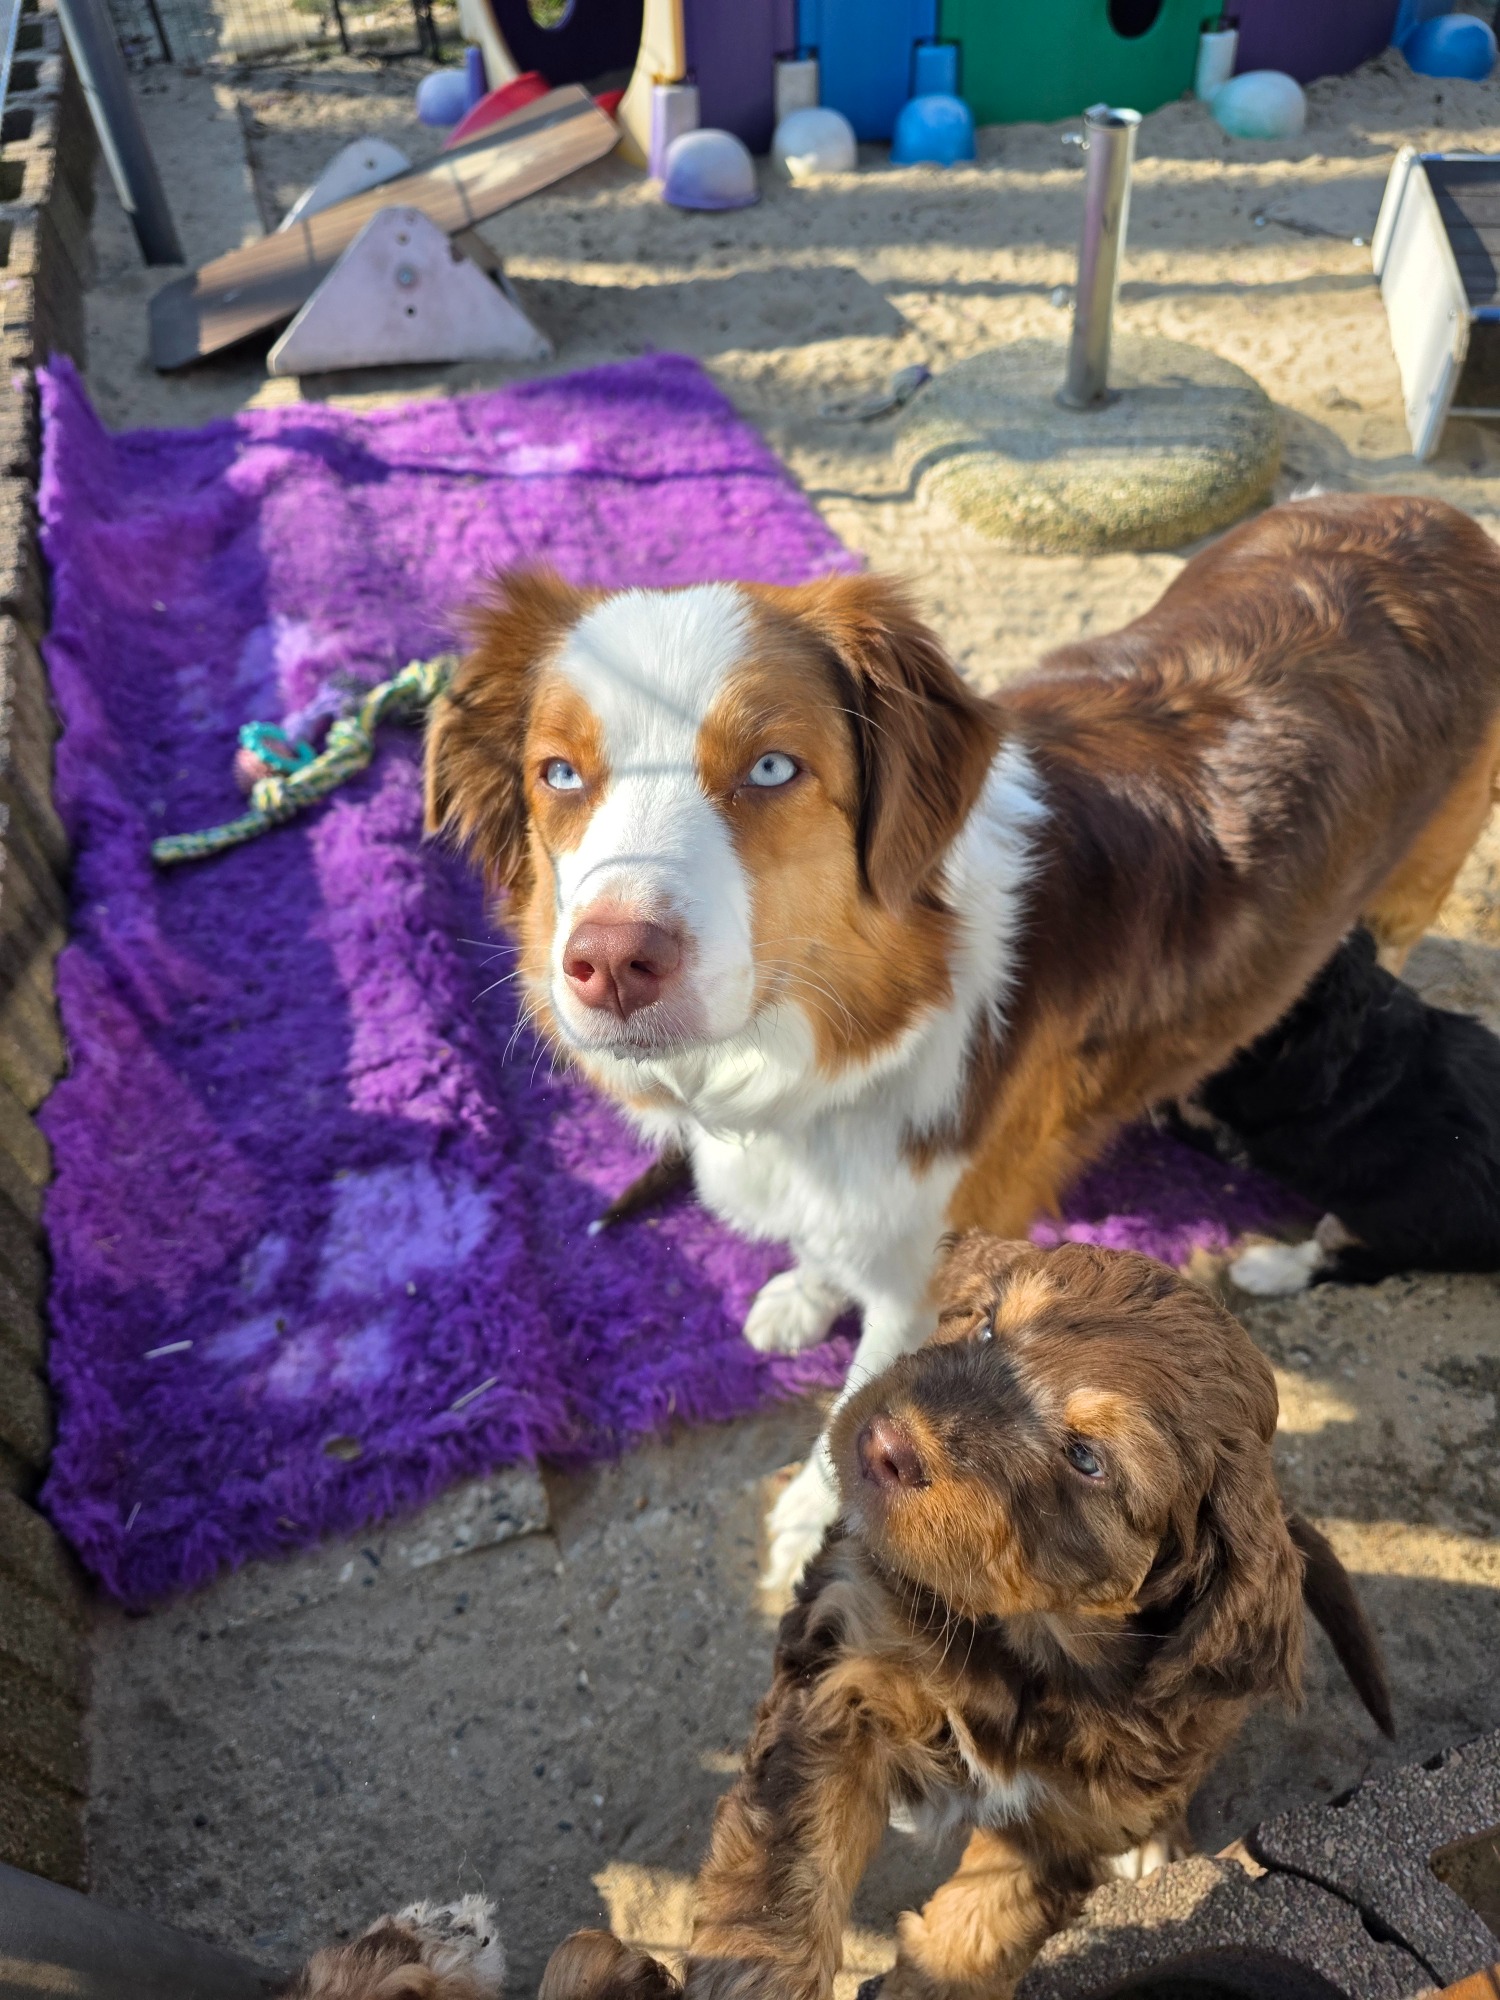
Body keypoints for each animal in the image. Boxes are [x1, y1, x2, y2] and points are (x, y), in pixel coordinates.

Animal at [537, 1237, 1392, 2000]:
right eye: (985, 1329)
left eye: (1087, 1460)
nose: (885, 1445)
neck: (1017, 1639)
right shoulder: (842, 1665)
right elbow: (785, 1871)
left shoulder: (1067, 1817)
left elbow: (981, 1925)